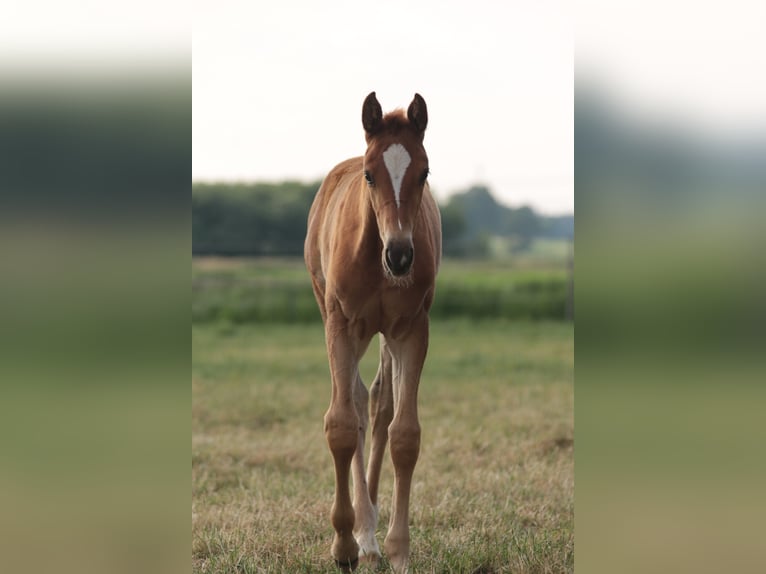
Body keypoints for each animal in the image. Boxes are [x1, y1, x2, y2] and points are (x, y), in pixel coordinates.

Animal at [304, 92, 440, 572]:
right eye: (369, 174)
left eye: (424, 172)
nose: (400, 256)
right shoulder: (340, 324)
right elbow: (342, 424)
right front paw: (343, 544)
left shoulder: (411, 329)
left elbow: (405, 433)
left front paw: (399, 549)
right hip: (349, 324)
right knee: (359, 400)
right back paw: (362, 532)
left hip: (382, 333)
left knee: (379, 402)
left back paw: (373, 525)